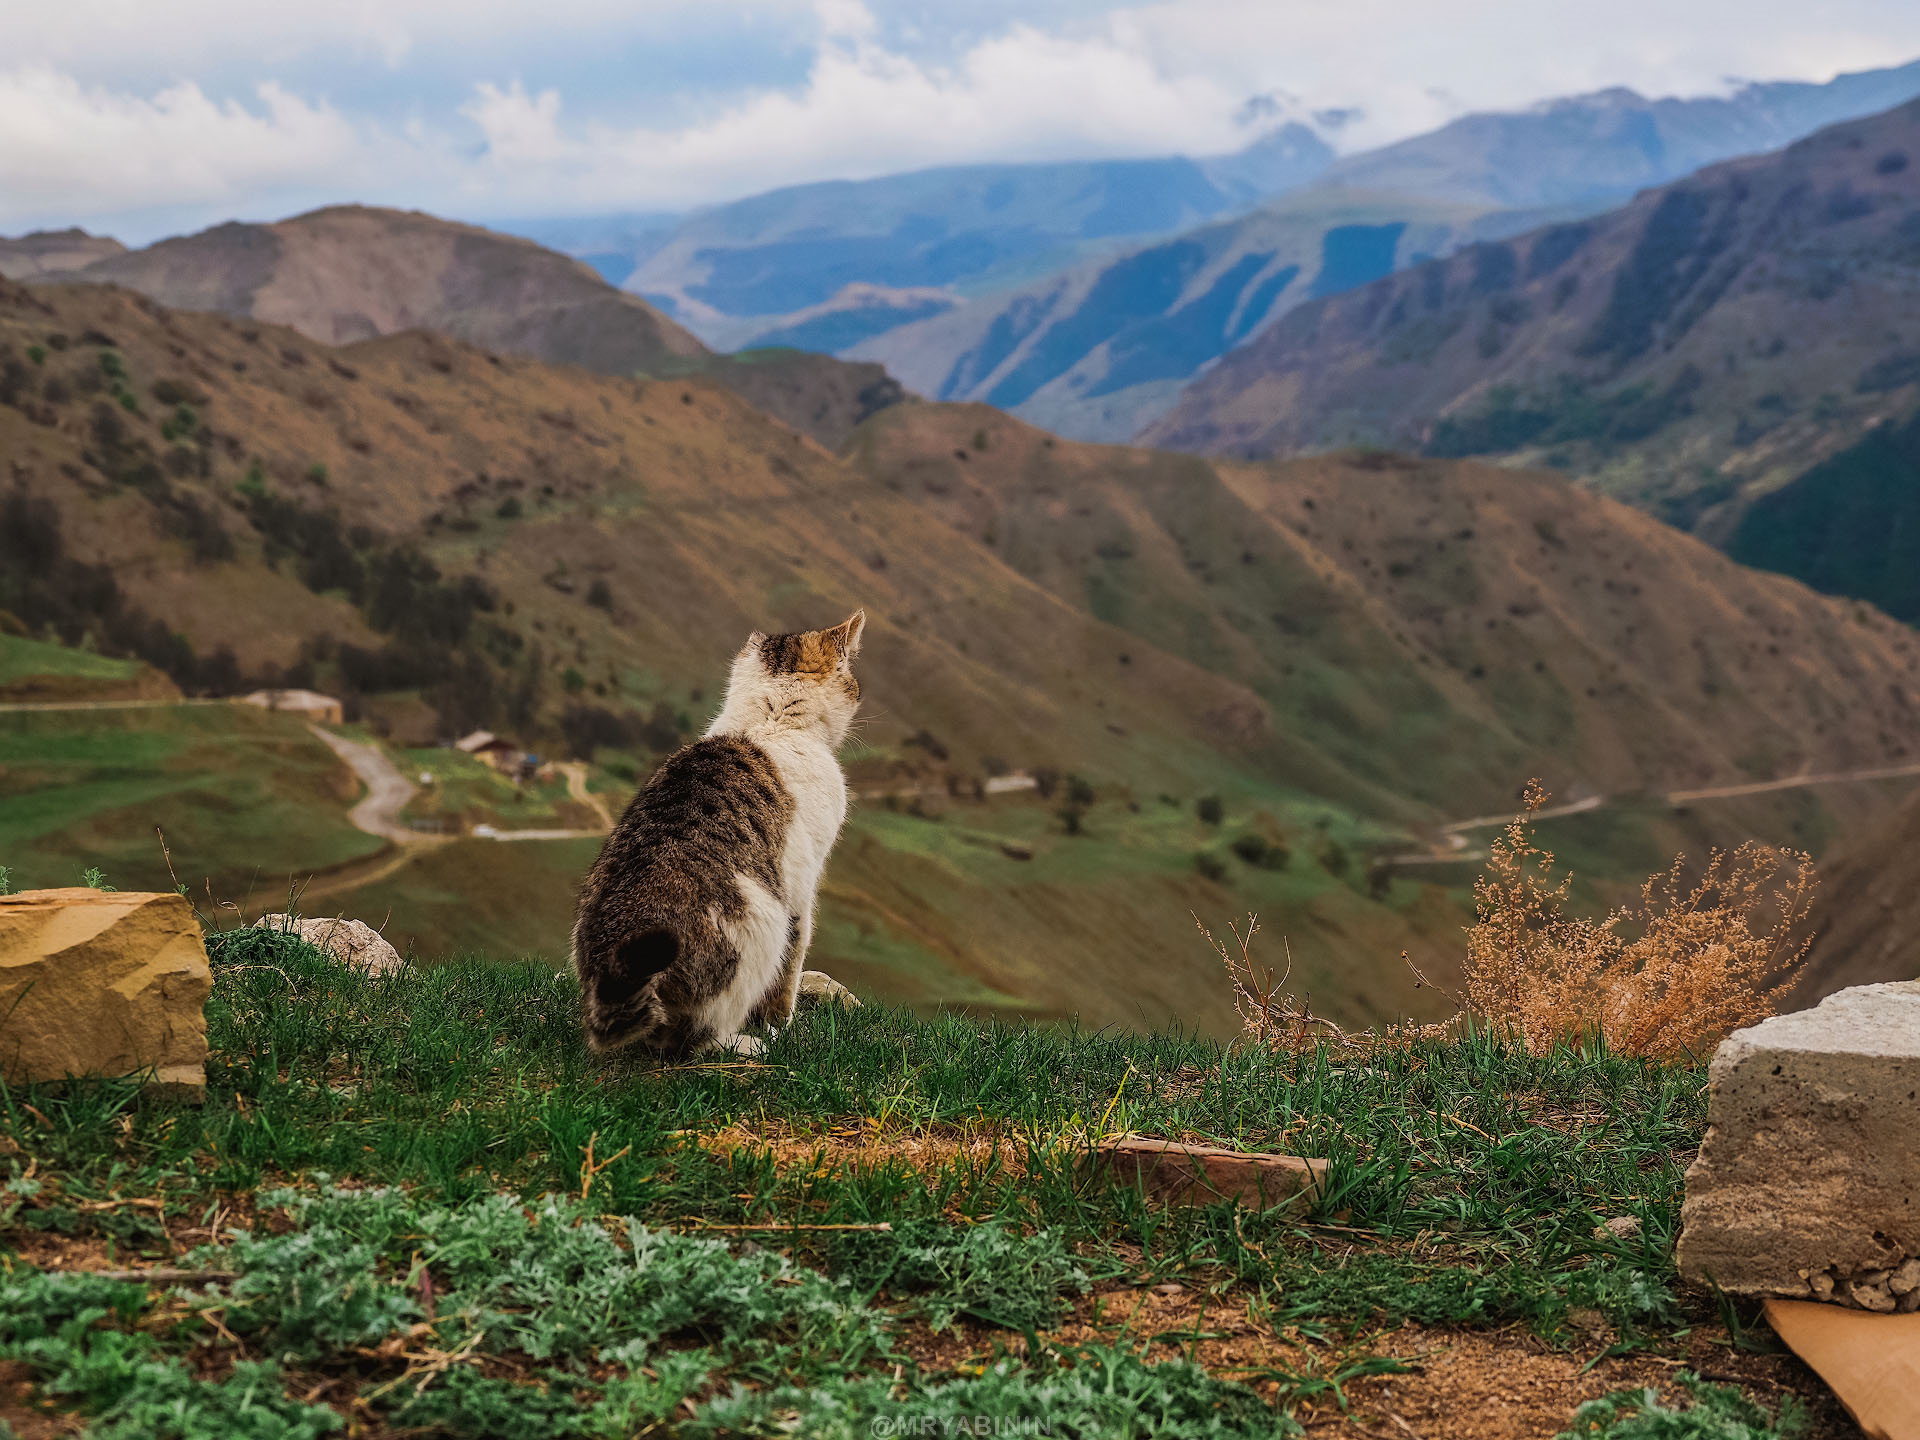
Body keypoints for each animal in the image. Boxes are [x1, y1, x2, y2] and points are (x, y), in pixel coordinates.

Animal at [568, 610, 864, 1059]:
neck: (769, 720)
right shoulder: (801, 888)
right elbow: (790, 969)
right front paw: (781, 1027)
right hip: (761, 918)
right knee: (690, 1040)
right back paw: (747, 1044)